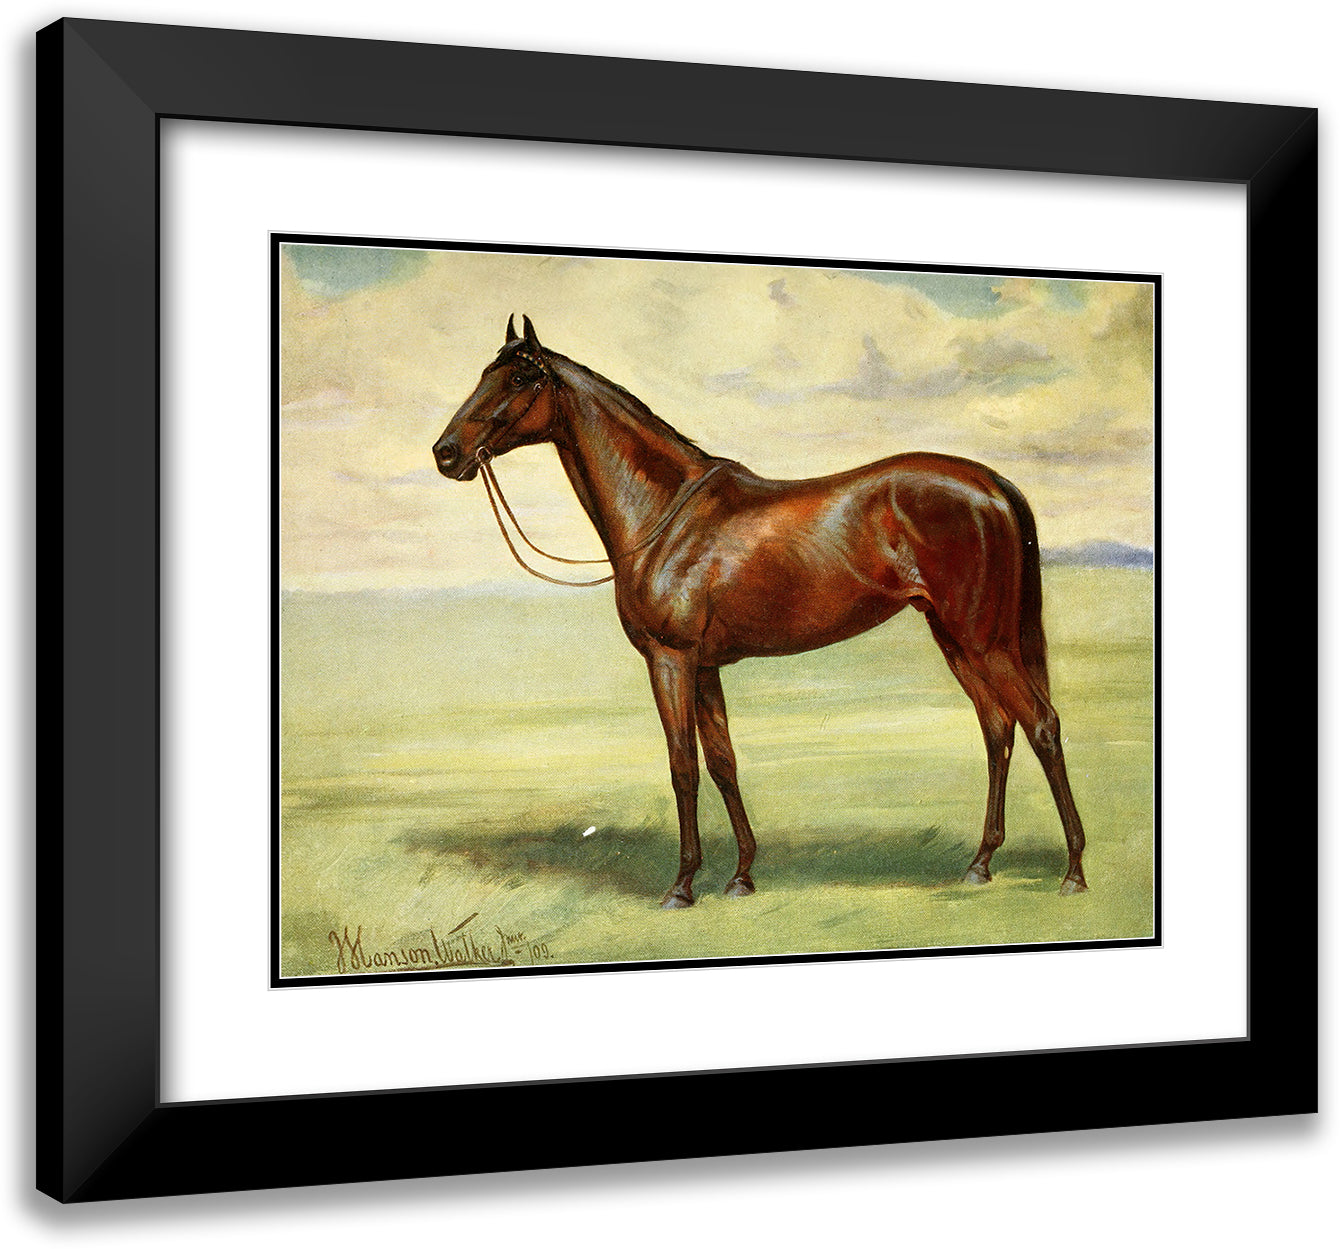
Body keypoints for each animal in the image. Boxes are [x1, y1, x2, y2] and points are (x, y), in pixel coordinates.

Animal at [433, 315, 1088, 908]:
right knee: (998, 729)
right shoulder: (704, 667)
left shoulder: (670, 660)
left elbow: (683, 766)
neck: (666, 515)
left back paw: (1073, 872)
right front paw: (742, 876)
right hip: (955, 639)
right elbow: (723, 762)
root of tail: (992, 486)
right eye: (485, 373)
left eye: (520, 378)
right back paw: (980, 864)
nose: (446, 453)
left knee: (1041, 725)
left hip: (983, 641)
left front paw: (682, 886)